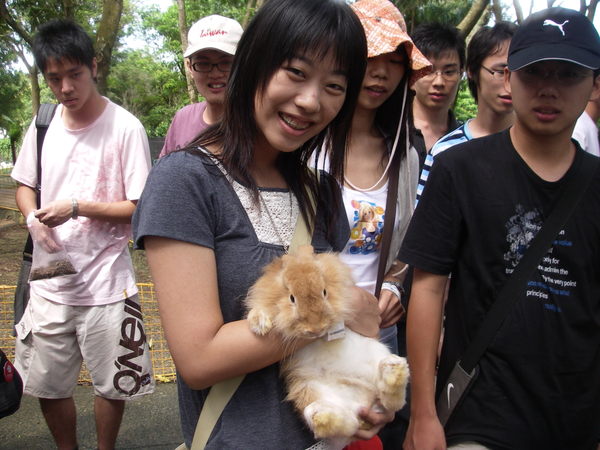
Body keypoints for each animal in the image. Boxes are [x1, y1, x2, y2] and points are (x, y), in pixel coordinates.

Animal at [244, 248, 408, 448]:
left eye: (324, 292)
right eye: (292, 298)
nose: (316, 328)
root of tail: (364, 401)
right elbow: (261, 308)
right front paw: (260, 325)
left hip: (376, 353)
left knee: (392, 403)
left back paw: (393, 370)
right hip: (308, 389)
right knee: (345, 424)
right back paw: (322, 414)